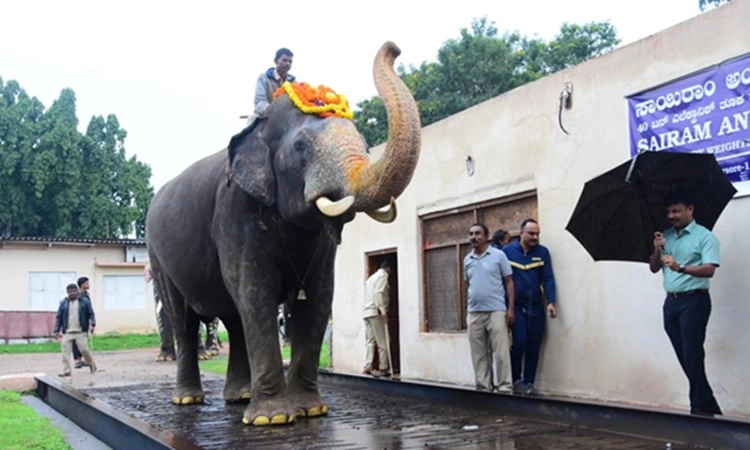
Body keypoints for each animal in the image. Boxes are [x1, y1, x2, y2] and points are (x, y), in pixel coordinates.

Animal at [145, 41, 421, 426]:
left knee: (234, 318)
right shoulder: (236, 212)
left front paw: (310, 411)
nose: (393, 48)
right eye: (301, 147)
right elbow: (257, 291)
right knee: (183, 318)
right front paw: (271, 420)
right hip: (158, 255)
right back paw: (188, 400)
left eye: (365, 143)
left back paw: (240, 397)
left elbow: (317, 297)